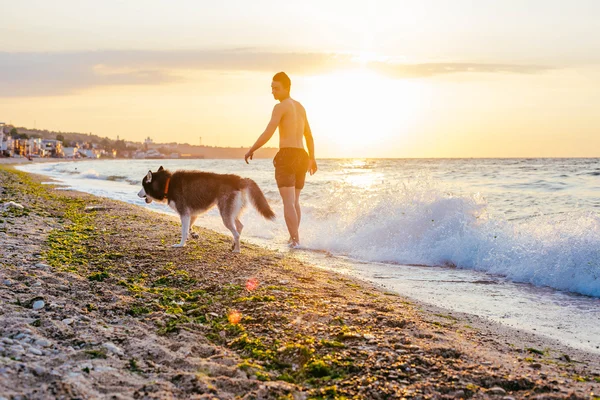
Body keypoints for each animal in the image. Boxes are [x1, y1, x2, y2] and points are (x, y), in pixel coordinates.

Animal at [137, 166, 276, 253]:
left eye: (143, 185)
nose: (138, 194)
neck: (168, 183)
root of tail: (239, 179)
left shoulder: (184, 213)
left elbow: (184, 231)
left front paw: (181, 244)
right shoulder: (192, 215)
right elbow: (189, 228)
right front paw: (191, 236)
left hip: (225, 214)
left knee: (236, 232)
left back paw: (237, 250)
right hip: (231, 212)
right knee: (239, 227)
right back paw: (234, 245)